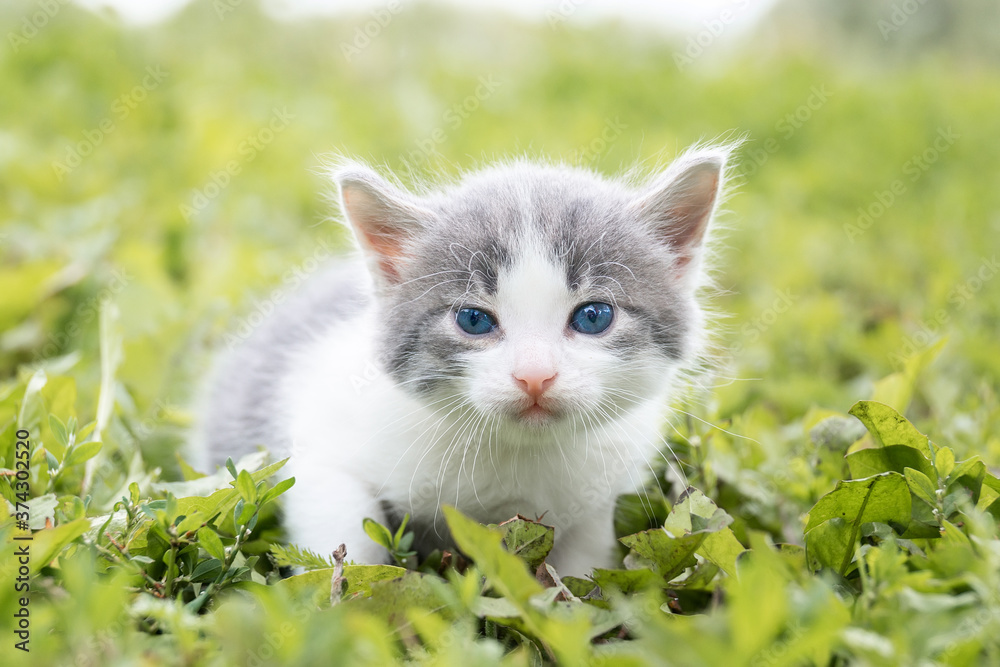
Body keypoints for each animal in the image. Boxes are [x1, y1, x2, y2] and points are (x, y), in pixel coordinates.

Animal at [195, 149, 732, 576]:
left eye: (594, 316)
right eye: (473, 320)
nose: (535, 375)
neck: (517, 457)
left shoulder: (599, 490)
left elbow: (582, 565)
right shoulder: (323, 443)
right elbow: (342, 526)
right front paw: (345, 602)